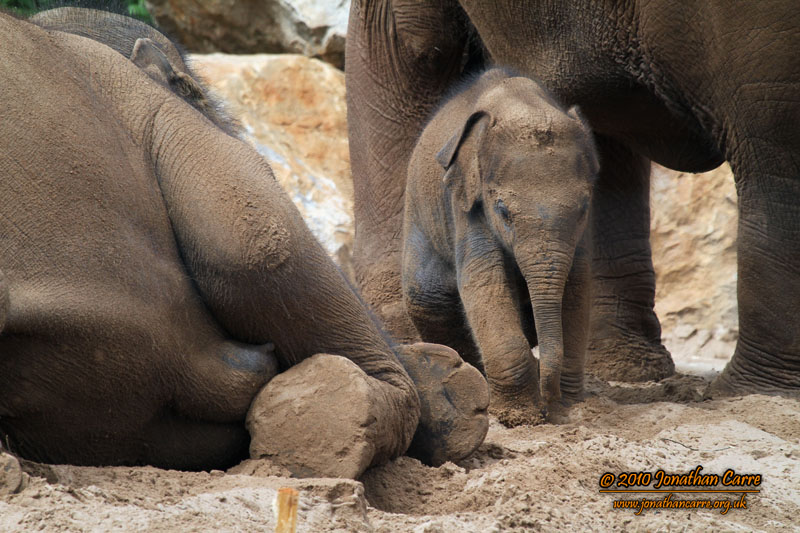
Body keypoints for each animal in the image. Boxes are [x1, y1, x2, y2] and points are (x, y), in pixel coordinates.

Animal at [404, 67, 596, 424]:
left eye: (583, 209)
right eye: (503, 211)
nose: (550, 407)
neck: (519, 101)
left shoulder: (584, 232)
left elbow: (579, 286)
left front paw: (571, 404)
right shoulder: (468, 205)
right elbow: (484, 282)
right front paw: (520, 415)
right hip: (419, 213)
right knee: (427, 298)